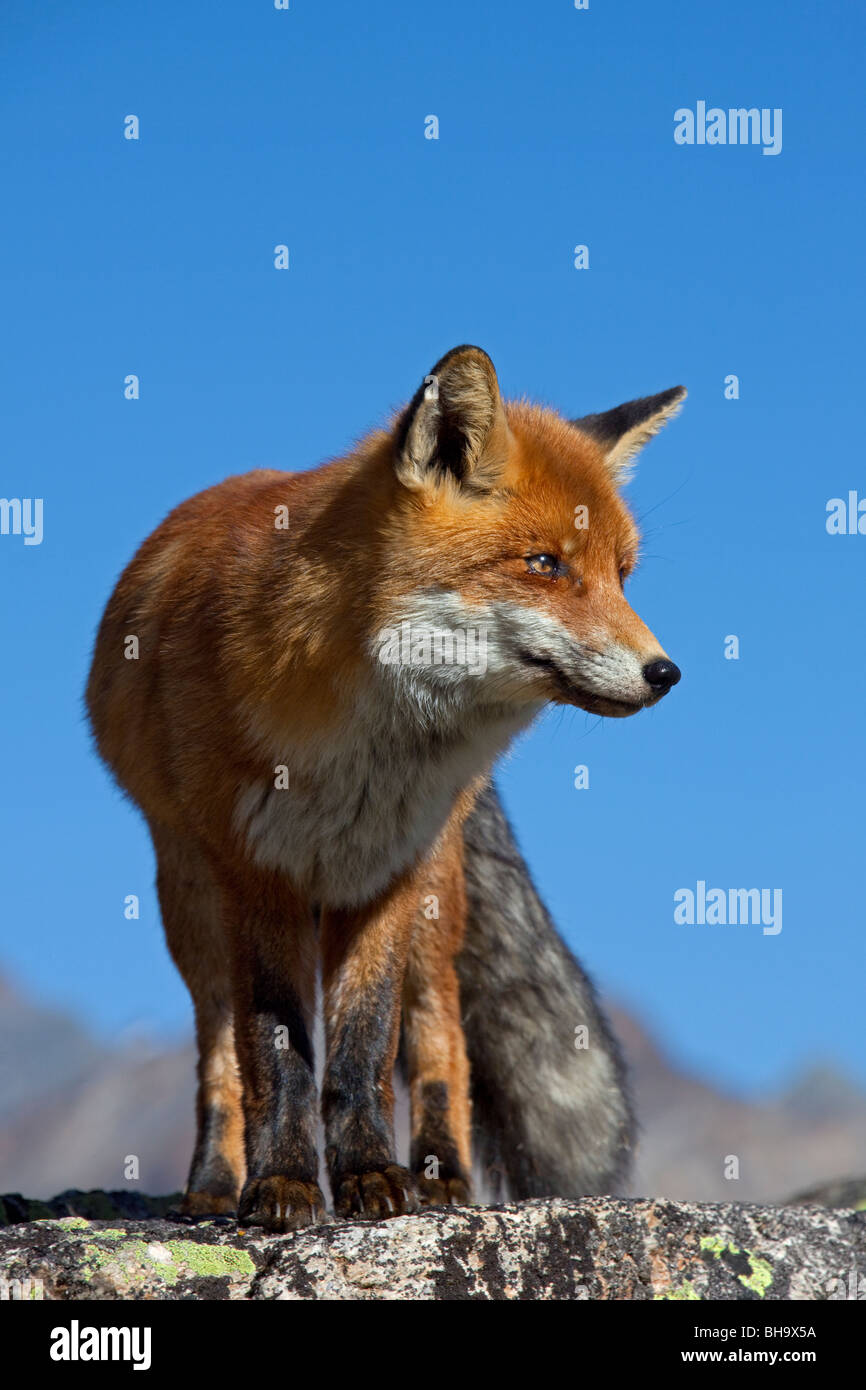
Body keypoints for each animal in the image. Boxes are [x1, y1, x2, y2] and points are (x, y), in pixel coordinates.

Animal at [86, 345, 684, 1233]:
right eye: (546, 564)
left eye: (622, 574)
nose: (666, 673)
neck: (364, 753)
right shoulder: (257, 873)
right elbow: (273, 1054)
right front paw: (282, 1184)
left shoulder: (384, 875)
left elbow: (364, 1049)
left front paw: (371, 1174)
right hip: (190, 902)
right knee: (218, 1054)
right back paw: (214, 1183)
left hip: (434, 899)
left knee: (442, 1041)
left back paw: (440, 1175)